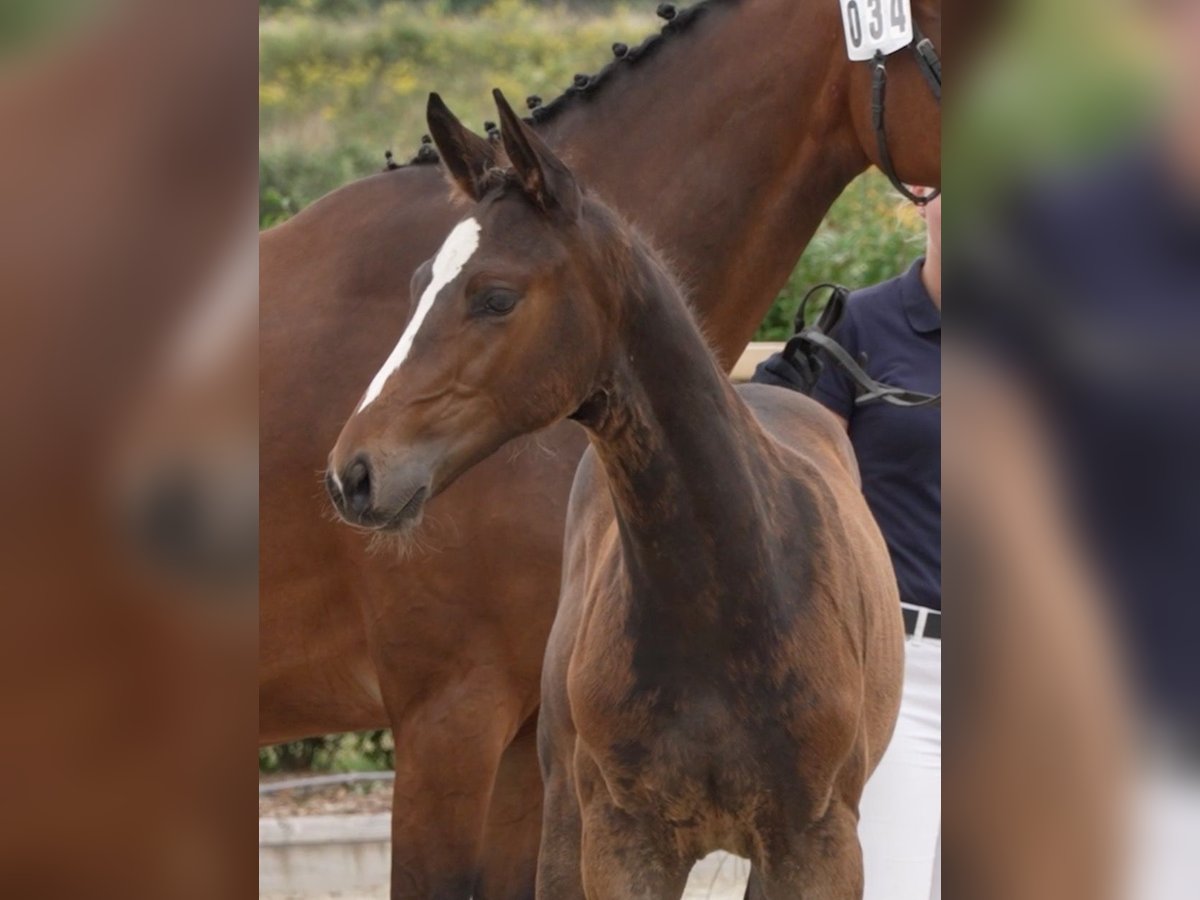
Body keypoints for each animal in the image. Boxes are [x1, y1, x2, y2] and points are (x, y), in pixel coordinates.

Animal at [328, 93, 902, 900]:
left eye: (496, 297)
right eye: (416, 287)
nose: (354, 472)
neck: (734, 597)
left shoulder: (818, 846)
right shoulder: (624, 841)